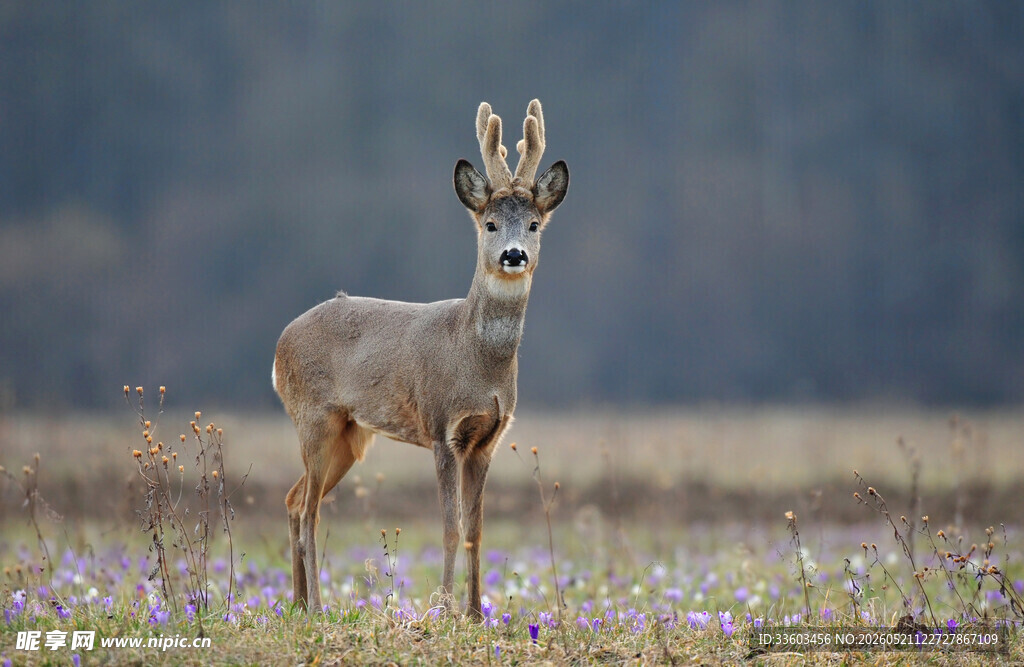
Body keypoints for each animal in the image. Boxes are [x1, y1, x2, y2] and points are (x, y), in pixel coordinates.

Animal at [272, 100, 569, 618]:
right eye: (490, 224)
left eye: (534, 225)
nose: (513, 255)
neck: (476, 360)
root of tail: (277, 348)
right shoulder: (441, 427)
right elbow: (450, 527)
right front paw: (445, 609)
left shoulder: (487, 439)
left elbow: (476, 530)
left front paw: (476, 612)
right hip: (313, 417)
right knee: (309, 511)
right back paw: (318, 606)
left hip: (349, 436)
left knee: (293, 499)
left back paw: (298, 603)